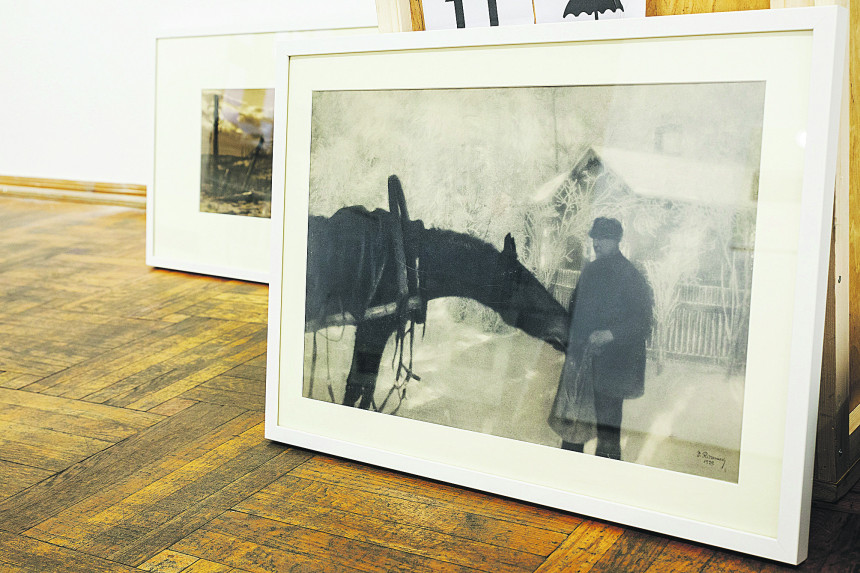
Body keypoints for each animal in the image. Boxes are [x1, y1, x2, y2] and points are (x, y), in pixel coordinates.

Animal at [305, 176, 569, 410]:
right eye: (523, 283)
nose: (566, 327)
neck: (412, 263)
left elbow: (360, 391)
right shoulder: (372, 329)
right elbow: (357, 390)